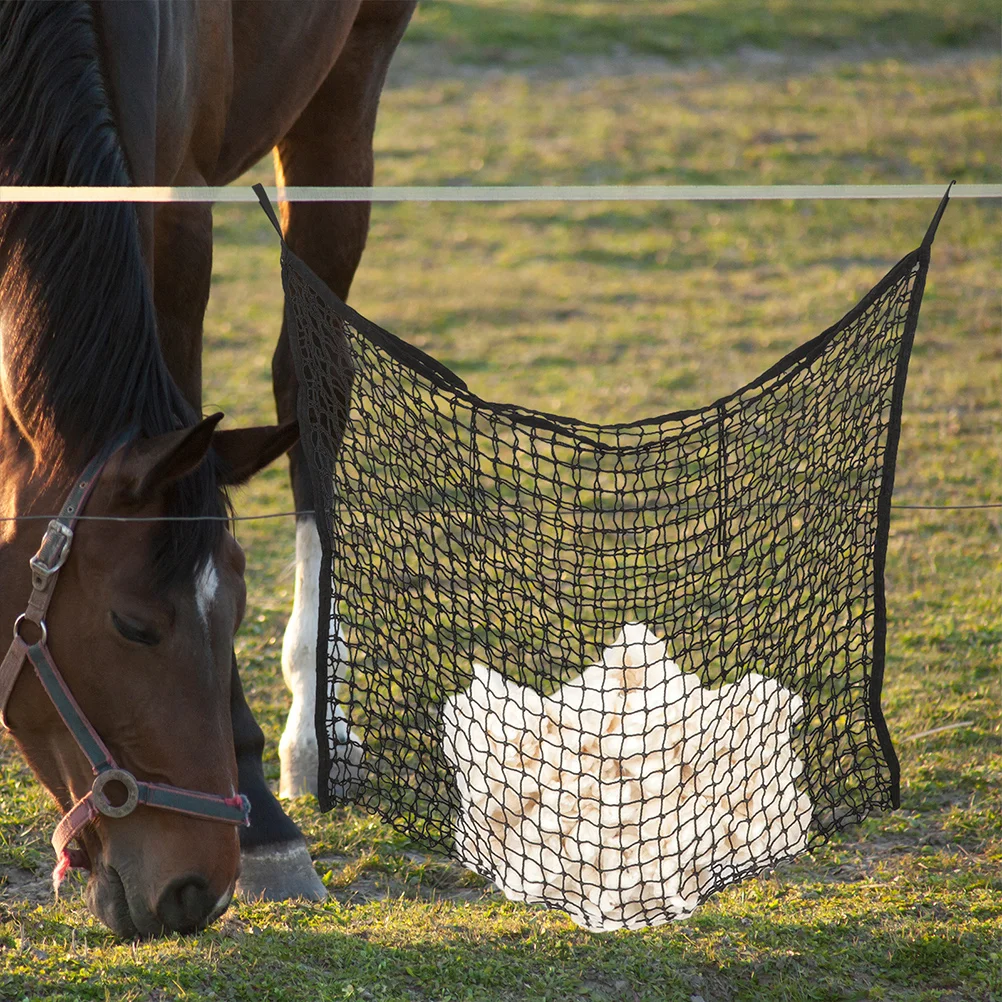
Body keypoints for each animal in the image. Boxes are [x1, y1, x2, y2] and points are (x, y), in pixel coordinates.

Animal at [0, 0, 416, 937]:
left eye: (233, 614)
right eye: (131, 627)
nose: (195, 888)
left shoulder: (172, 211)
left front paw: (263, 817)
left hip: (349, 75)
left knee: (312, 376)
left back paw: (313, 735)